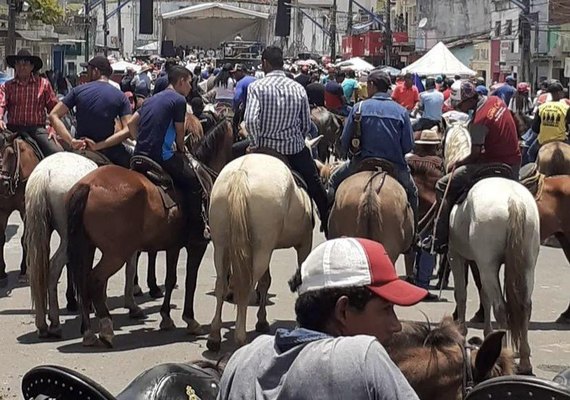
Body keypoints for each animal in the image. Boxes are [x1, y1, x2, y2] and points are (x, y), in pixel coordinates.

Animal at [25, 152, 141, 338]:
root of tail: (45, 173)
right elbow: (130, 268)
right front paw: (131, 305)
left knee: (39, 272)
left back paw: (43, 324)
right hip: (68, 240)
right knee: (53, 269)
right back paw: (55, 323)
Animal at [67, 119, 233, 346]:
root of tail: (88, 186)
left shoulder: (173, 246)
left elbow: (171, 279)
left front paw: (166, 317)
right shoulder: (197, 245)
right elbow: (190, 280)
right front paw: (190, 320)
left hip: (87, 247)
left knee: (83, 281)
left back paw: (88, 332)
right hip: (116, 253)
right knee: (95, 280)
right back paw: (107, 327)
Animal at [204, 153, 312, 350]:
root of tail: (240, 174)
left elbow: (265, 282)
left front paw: (262, 321)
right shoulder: (304, 244)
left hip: (222, 246)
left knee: (222, 284)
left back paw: (214, 336)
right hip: (262, 250)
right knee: (246, 288)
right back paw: (240, 338)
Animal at [444, 122, 536, 376]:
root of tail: (514, 201)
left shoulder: (457, 256)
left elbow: (462, 294)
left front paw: (461, 330)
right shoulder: (477, 262)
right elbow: (483, 295)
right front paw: (486, 334)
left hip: (488, 264)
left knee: (501, 307)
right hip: (526, 264)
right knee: (524, 306)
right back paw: (524, 361)